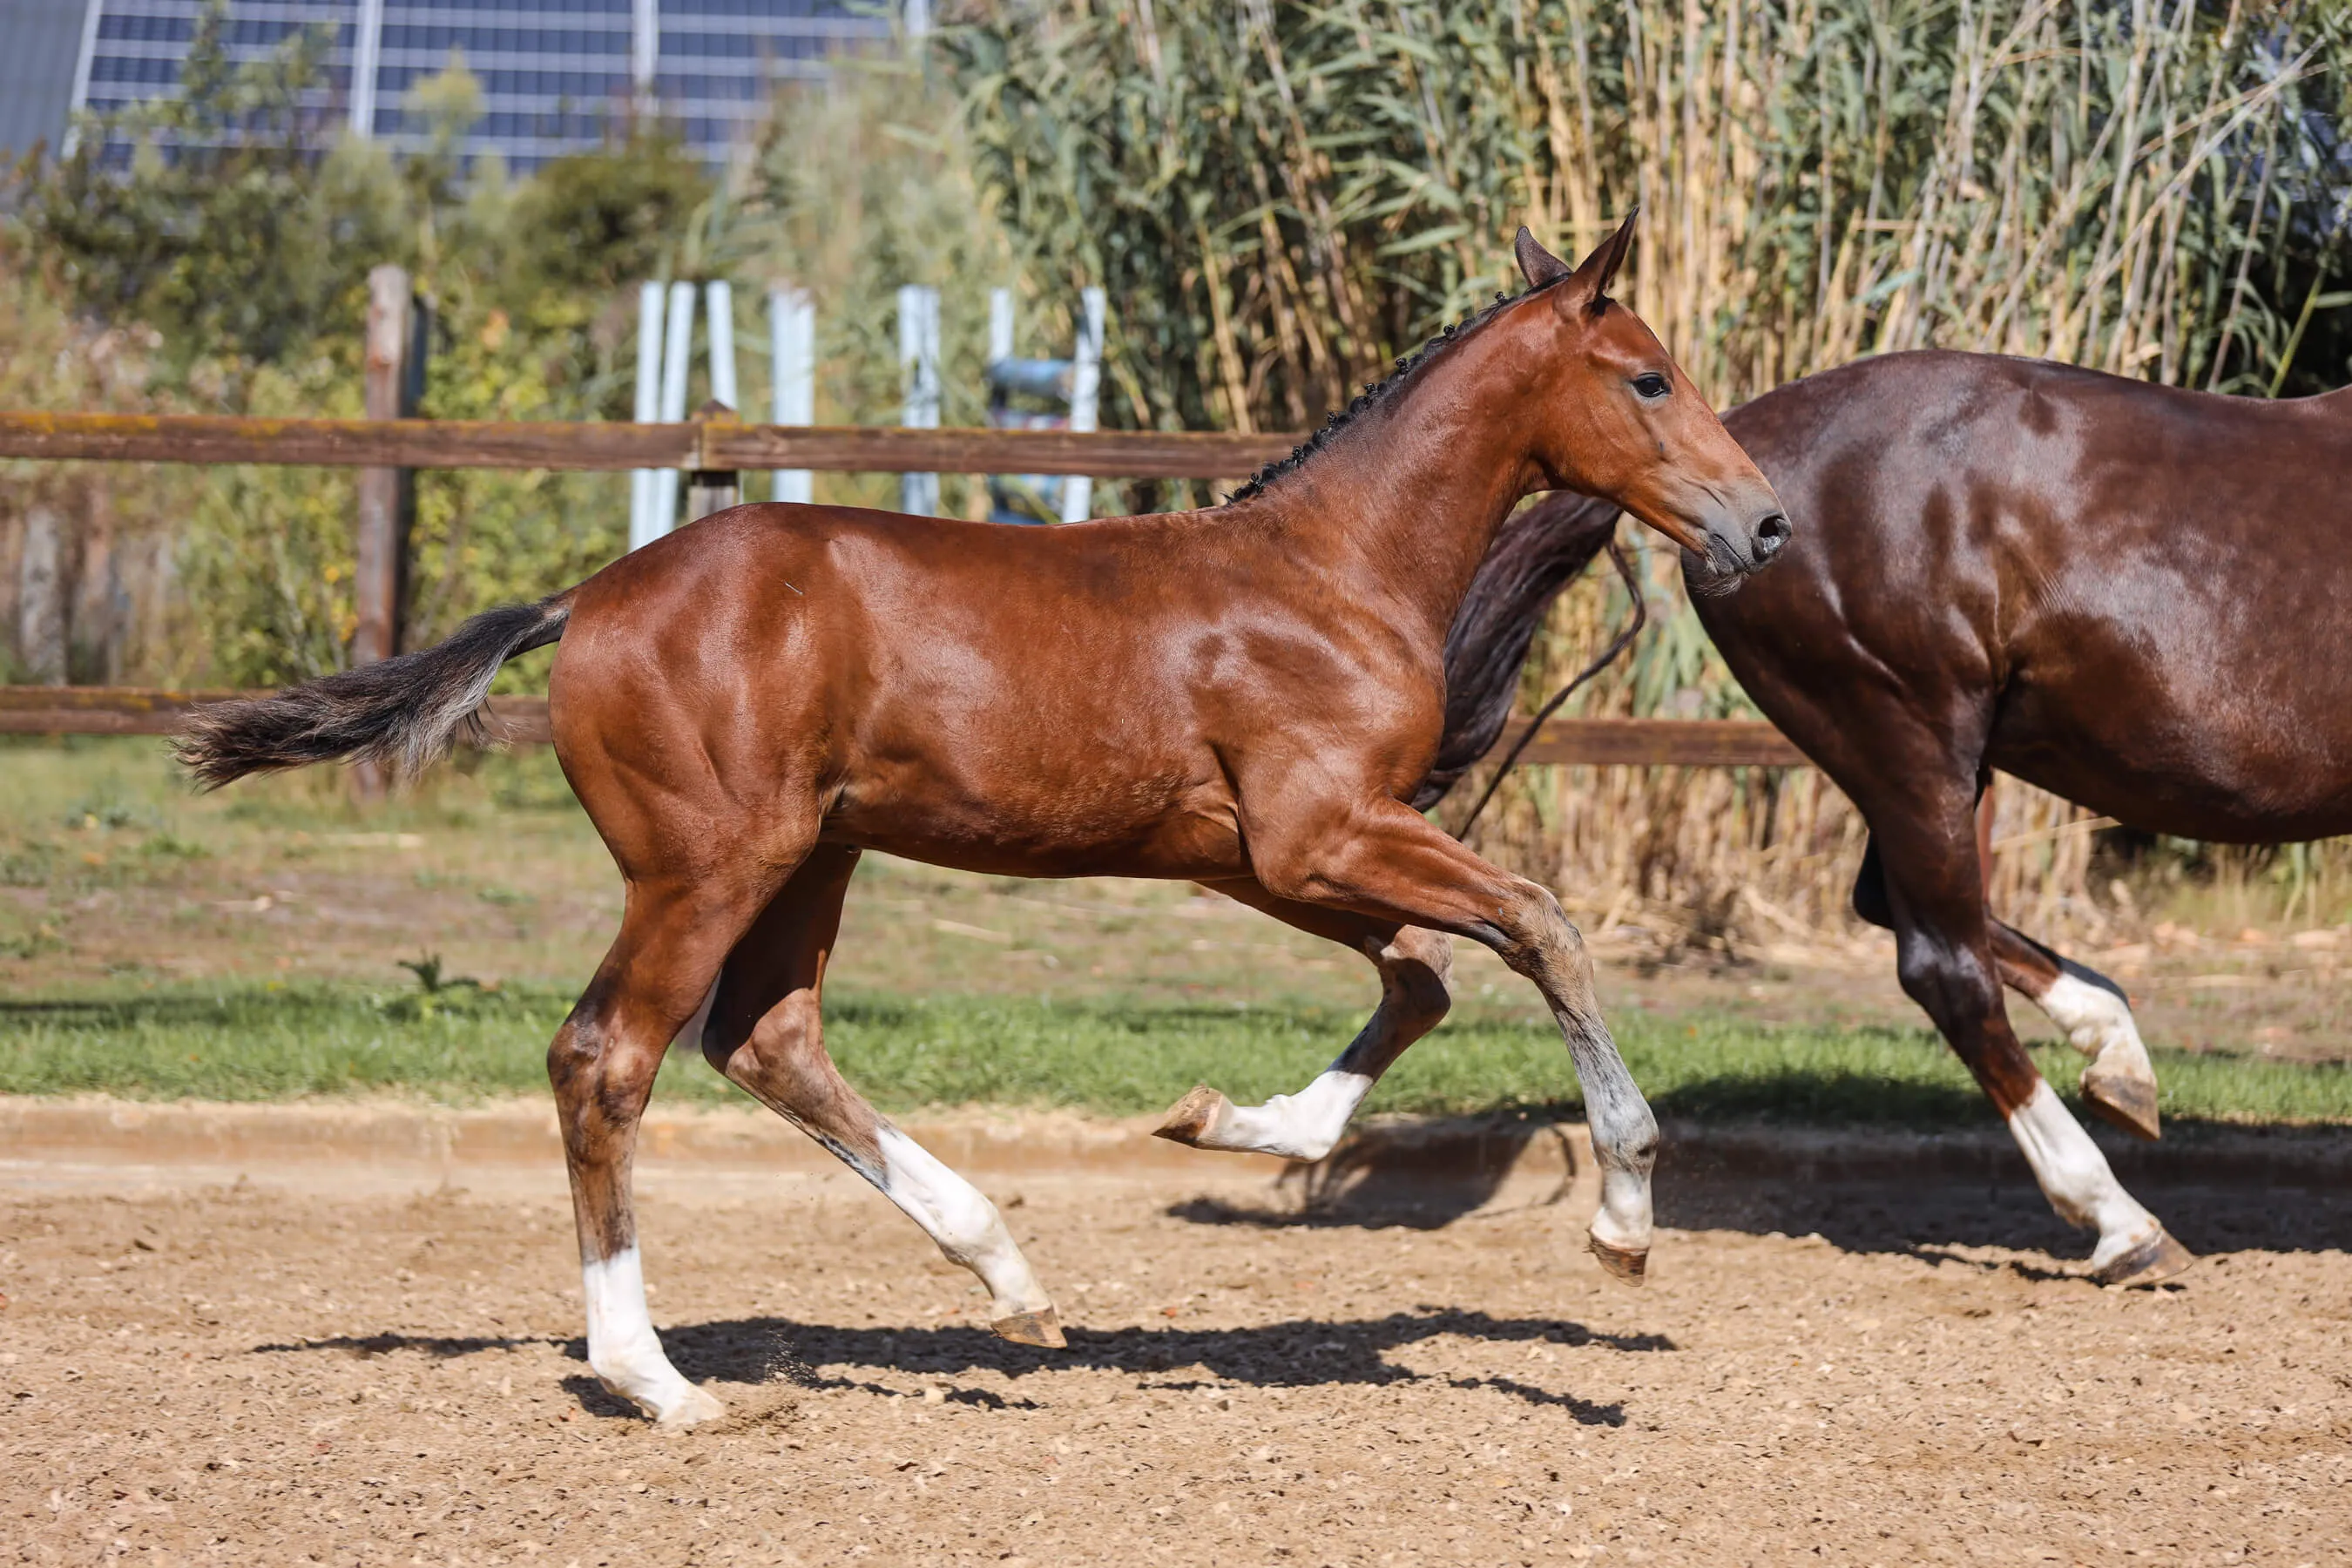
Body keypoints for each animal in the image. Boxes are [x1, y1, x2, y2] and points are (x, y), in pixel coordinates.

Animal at [175, 214, 1789, 1425]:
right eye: (1648, 377)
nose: (1764, 523)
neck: (1330, 570)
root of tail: (589, 598)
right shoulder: (1319, 832)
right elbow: (1540, 928)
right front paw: (1623, 1217)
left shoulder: (1264, 852)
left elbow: (1425, 976)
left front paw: (1226, 1124)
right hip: (709, 863)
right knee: (607, 1059)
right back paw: (663, 1382)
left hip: (814, 855)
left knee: (766, 1040)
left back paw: (1008, 1279)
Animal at [1228, 347, 2341, 1290]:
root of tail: (1750, 449)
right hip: (1908, 731)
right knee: (1941, 958)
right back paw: (2119, 1216)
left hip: (1925, 755)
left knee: (1906, 913)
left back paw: (2118, 1060)